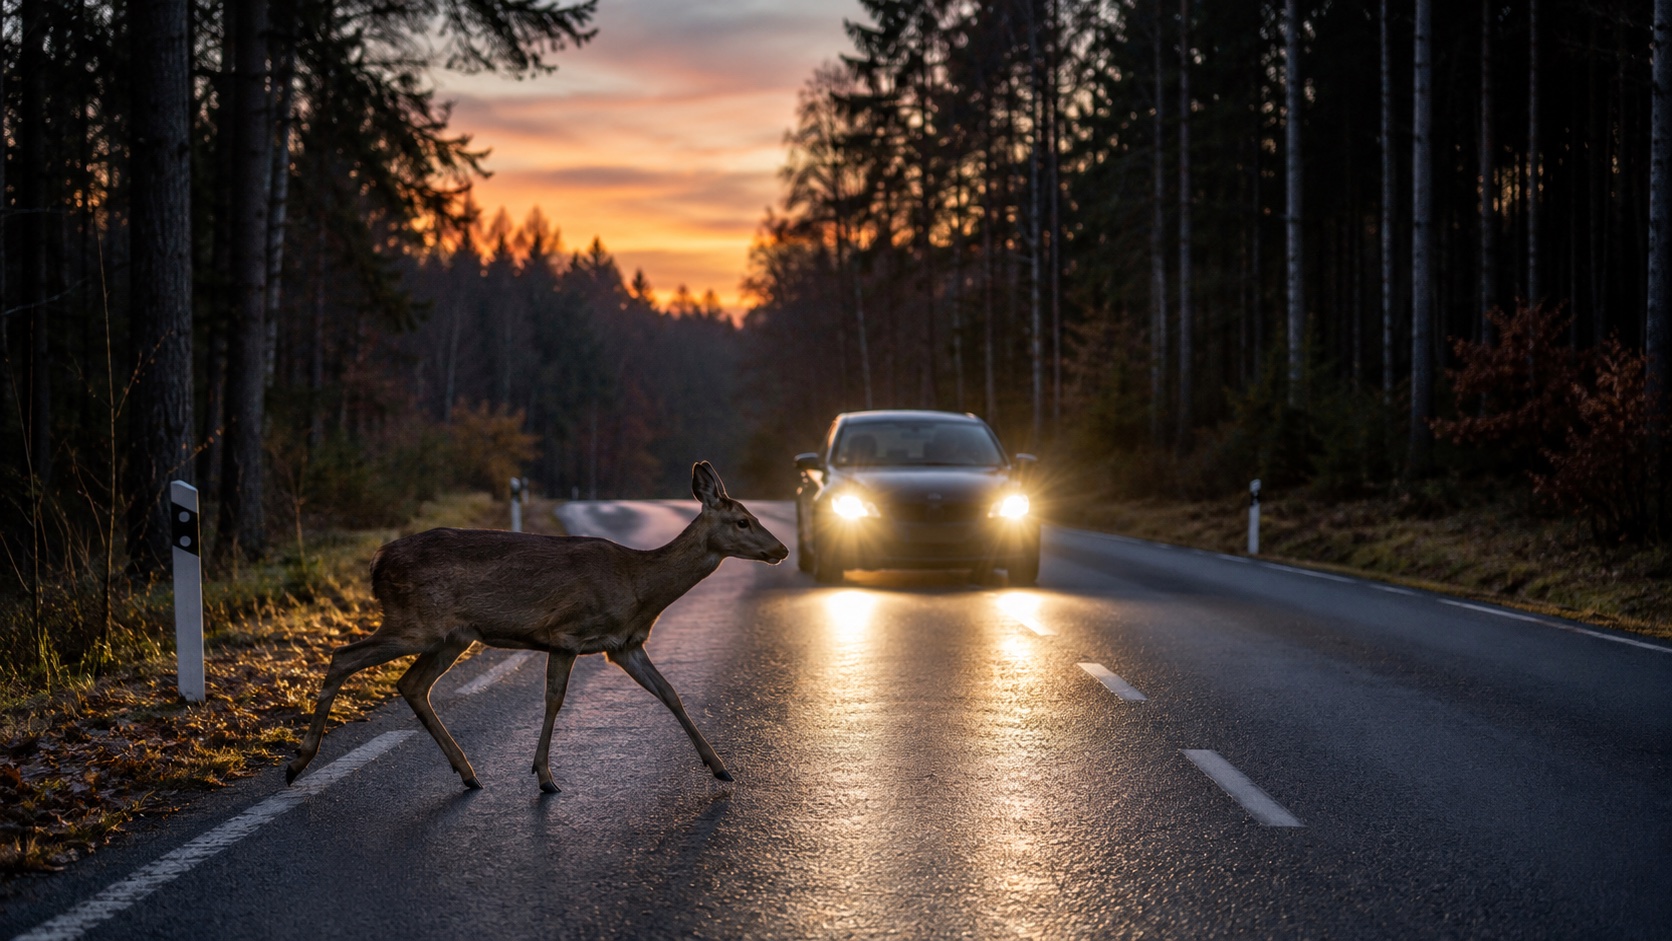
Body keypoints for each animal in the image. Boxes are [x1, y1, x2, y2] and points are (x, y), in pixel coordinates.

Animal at [285, 461, 788, 792]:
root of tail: (377, 560)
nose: (781, 549)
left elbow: (670, 693)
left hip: (452, 635)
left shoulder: (625, 645)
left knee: (411, 684)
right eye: (743, 520)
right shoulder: (567, 633)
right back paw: (299, 761)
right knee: (343, 655)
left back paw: (467, 773)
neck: (637, 585)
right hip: (415, 622)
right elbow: (554, 701)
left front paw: (719, 766)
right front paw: (545, 777)